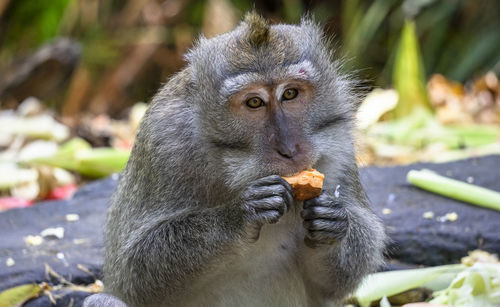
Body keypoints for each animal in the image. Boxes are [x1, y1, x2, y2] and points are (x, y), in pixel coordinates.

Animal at [83, 12, 386, 307]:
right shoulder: (163, 140)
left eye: (290, 93)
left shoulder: (340, 142)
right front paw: (239, 215)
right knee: (102, 300)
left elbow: (334, 284)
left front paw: (332, 223)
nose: (289, 148)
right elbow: (134, 271)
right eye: (254, 102)